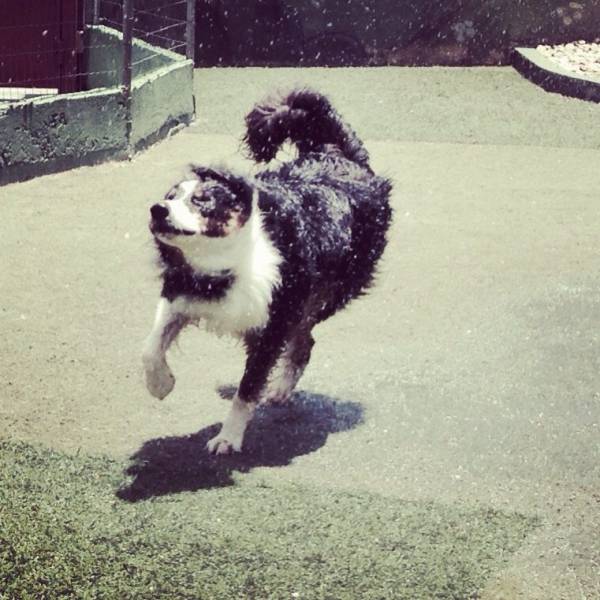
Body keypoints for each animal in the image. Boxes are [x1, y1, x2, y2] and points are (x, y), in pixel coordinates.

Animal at [142, 88, 392, 454]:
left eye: (202, 200)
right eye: (170, 196)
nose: (157, 210)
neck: (231, 259)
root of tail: (340, 155)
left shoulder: (274, 324)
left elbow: (248, 388)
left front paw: (228, 437)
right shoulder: (181, 289)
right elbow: (151, 346)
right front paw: (160, 383)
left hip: (321, 297)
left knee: (304, 341)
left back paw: (281, 387)